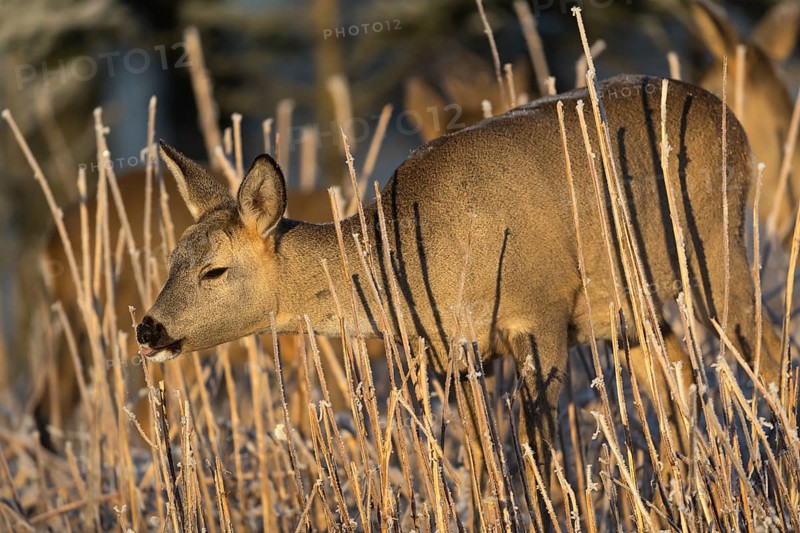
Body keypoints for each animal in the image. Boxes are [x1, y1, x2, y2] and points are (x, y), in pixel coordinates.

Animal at [137, 74, 782, 508]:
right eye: (171, 258)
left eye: (214, 271)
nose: (148, 328)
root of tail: (729, 117)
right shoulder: (458, 353)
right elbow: (483, 467)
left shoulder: (541, 313)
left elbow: (538, 458)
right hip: (629, 309)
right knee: (679, 374)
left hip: (716, 246)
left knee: (770, 355)